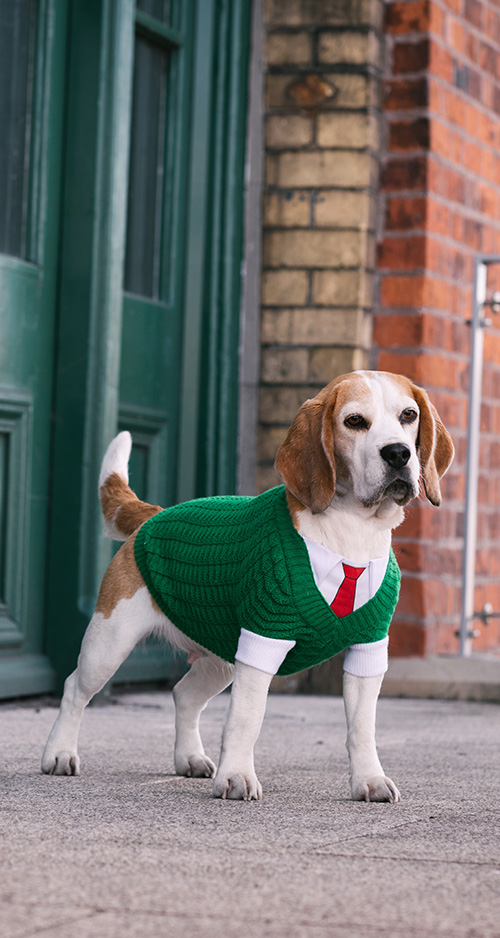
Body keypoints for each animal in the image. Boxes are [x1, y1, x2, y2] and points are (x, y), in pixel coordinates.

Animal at [42, 370, 454, 800]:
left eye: (408, 415)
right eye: (354, 421)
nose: (398, 454)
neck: (350, 533)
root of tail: (151, 516)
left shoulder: (368, 650)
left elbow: (362, 727)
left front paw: (369, 780)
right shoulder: (263, 641)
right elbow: (246, 717)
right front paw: (237, 775)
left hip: (219, 658)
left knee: (183, 695)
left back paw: (189, 758)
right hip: (110, 644)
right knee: (74, 689)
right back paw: (59, 753)